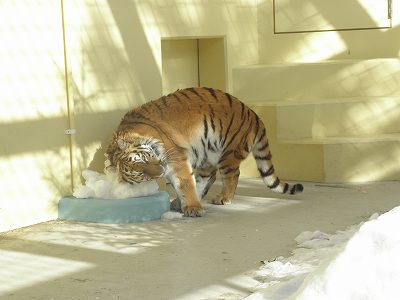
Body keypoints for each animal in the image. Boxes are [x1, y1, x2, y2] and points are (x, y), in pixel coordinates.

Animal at [104, 85, 302, 217]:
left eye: (144, 159)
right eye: (142, 175)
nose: (159, 171)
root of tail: (253, 114)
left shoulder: (176, 157)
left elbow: (185, 182)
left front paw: (193, 207)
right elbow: (187, 183)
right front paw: (190, 204)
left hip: (229, 152)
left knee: (232, 175)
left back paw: (223, 198)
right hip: (207, 153)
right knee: (208, 177)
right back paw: (183, 202)